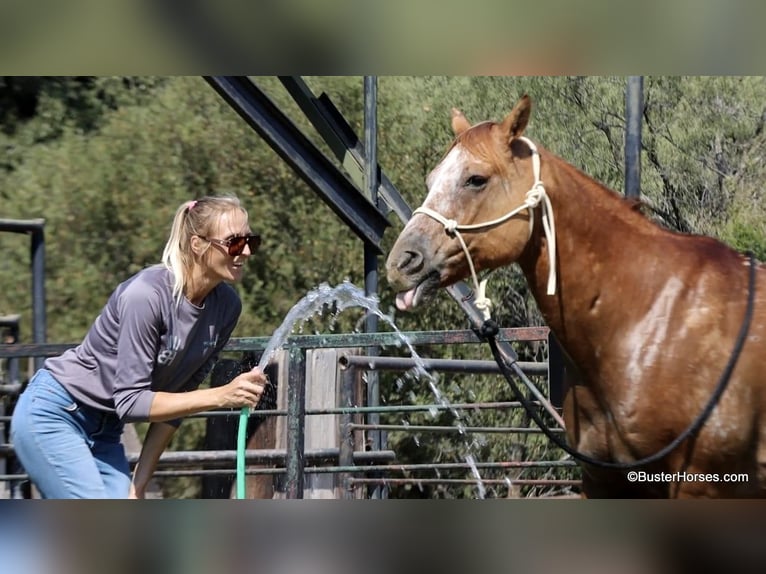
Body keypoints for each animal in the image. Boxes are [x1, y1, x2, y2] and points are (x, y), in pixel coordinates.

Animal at [390, 95, 766, 500]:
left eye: (476, 179)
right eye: (431, 180)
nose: (401, 263)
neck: (652, 319)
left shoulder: (702, 485)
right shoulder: (602, 480)